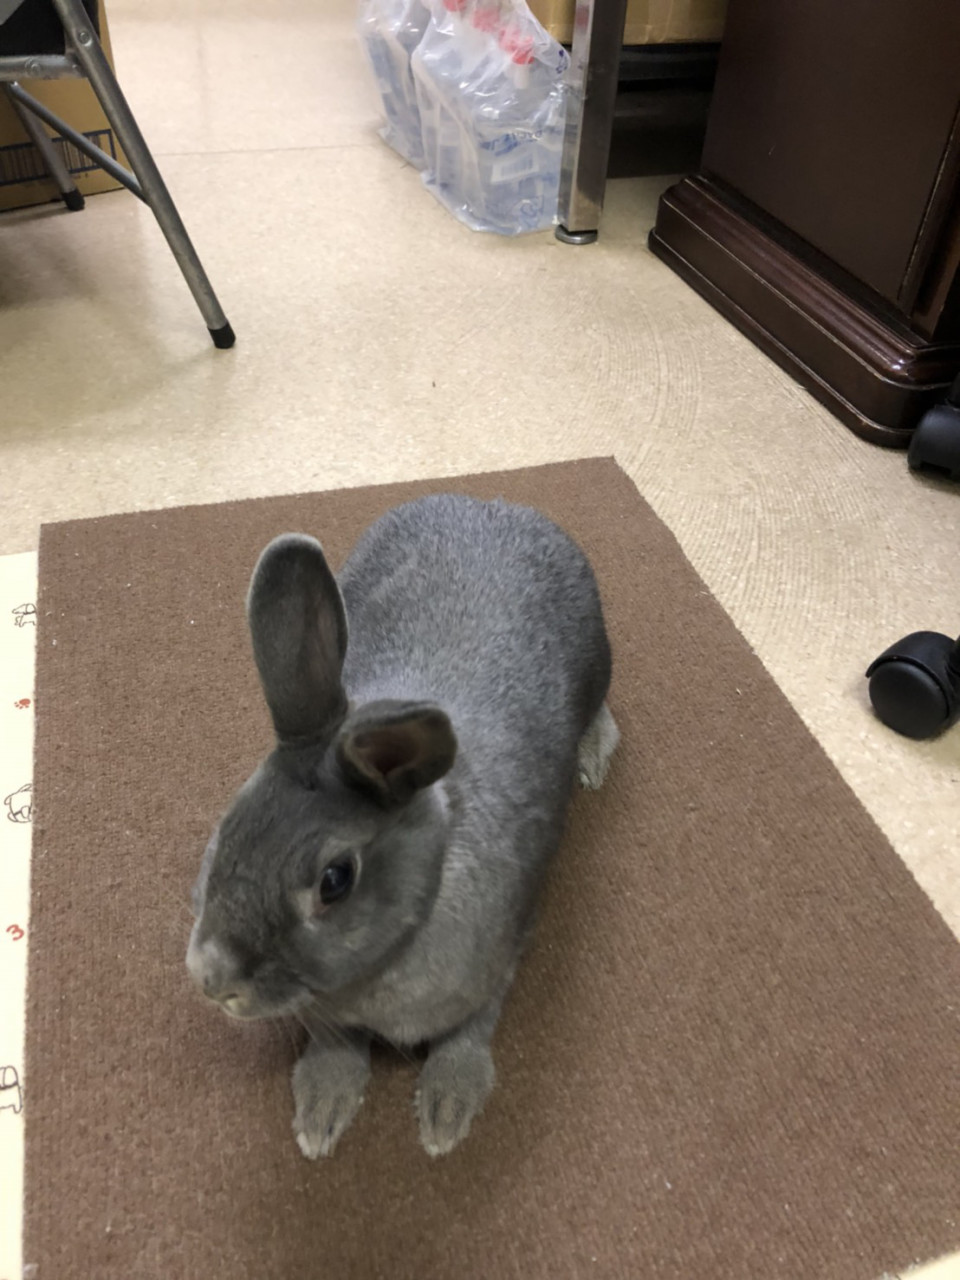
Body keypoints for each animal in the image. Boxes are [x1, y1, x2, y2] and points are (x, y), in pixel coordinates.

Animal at [189, 494, 624, 1157]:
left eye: (335, 880)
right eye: (227, 829)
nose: (211, 978)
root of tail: (491, 503)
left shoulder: (499, 965)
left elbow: (470, 1033)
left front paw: (447, 1111)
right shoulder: (327, 1014)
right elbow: (334, 1046)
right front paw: (322, 1111)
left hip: (600, 659)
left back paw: (593, 755)